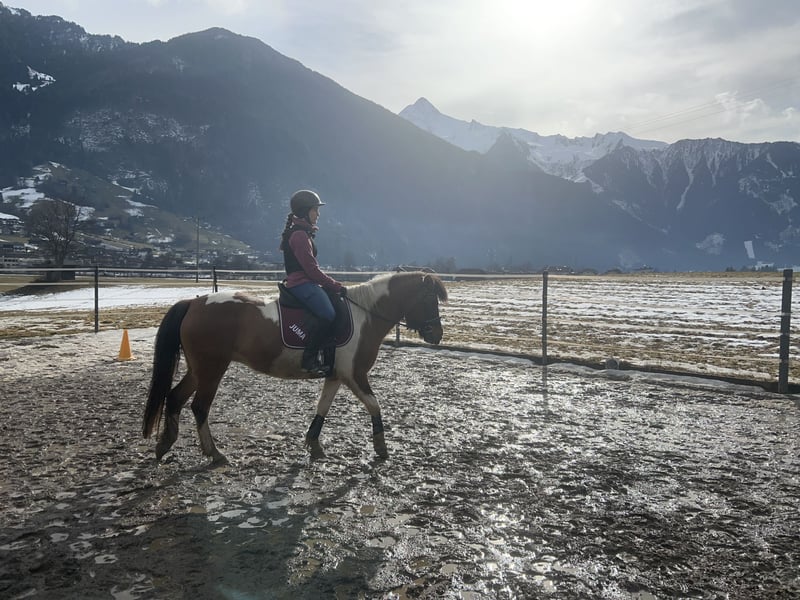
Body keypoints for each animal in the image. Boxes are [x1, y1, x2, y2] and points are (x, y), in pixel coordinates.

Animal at [142, 271, 448, 464]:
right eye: (428, 299)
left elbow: (322, 407)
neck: (364, 315)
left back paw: (165, 445)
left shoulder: (336, 375)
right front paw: (381, 447)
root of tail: (194, 302)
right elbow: (374, 405)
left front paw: (314, 444)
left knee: (175, 398)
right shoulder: (355, 374)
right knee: (199, 407)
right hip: (212, 369)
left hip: (199, 369)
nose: (437, 334)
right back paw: (214, 453)